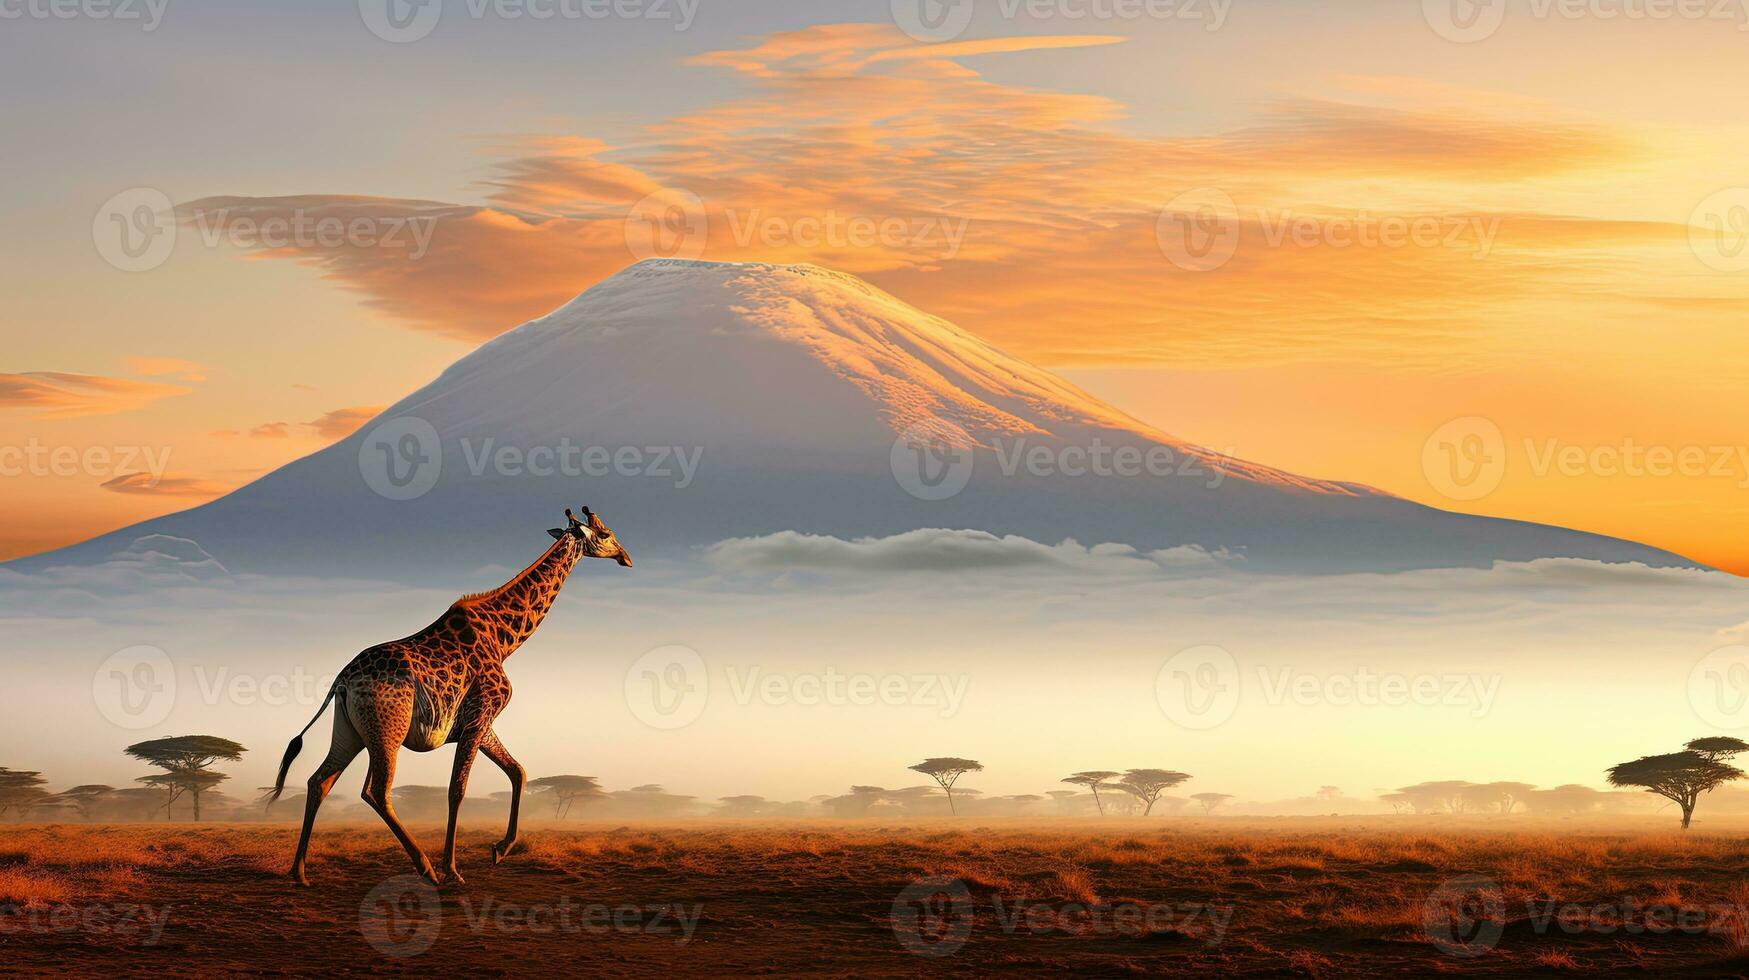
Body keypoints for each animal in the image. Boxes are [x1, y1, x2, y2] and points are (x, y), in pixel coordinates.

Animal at [269, 507, 633, 885]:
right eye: (605, 534)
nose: (626, 558)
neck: (504, 640)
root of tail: (341, 680)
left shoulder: (479, 722)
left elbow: (517, 771)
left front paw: (499, 850)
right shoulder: (480, 715)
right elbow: (457, 789)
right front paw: (453, 870)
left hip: (350, 731)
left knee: (319, 781)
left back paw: (299, 872)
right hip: (387, 730)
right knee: (375, 790)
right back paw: (426, 868)